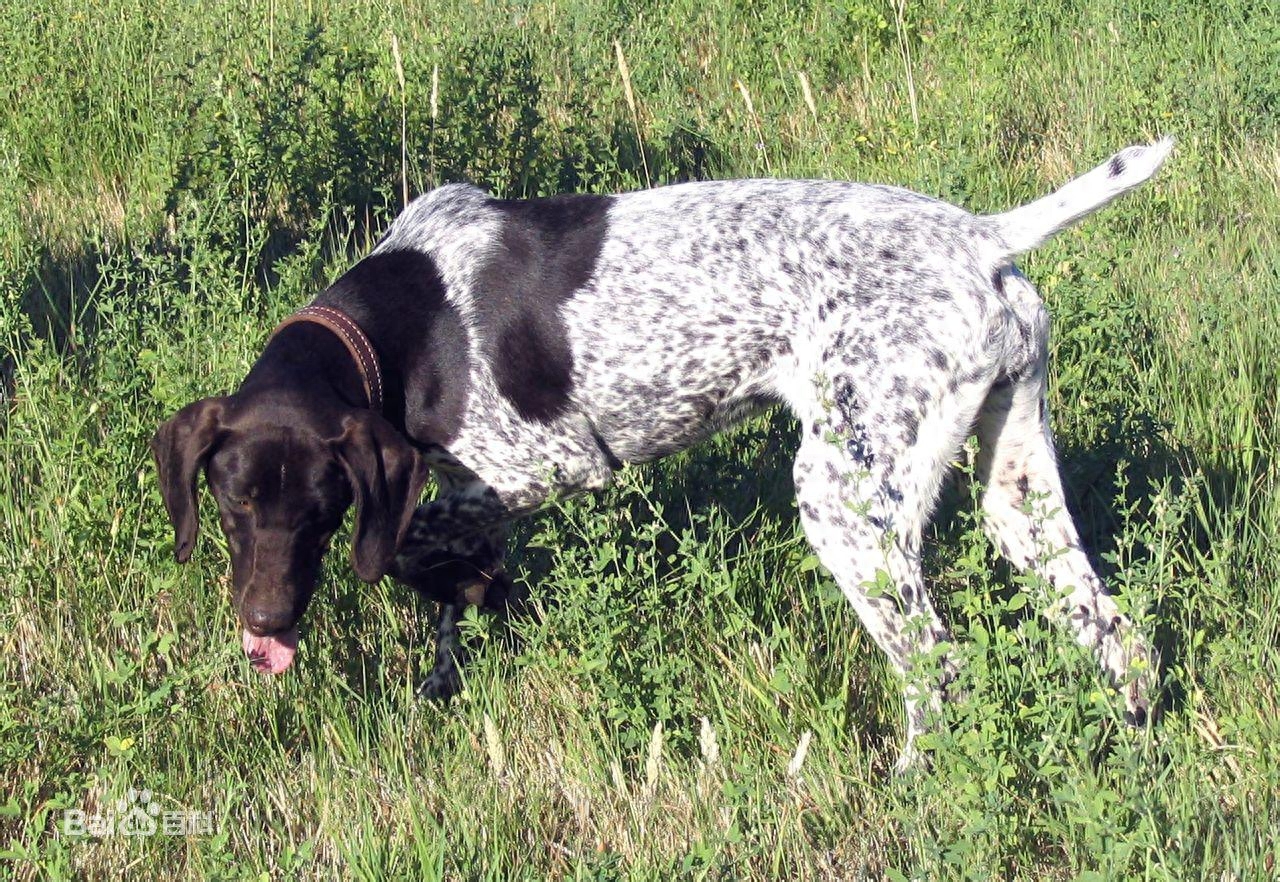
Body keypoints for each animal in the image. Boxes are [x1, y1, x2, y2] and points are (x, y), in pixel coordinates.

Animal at [149, 139, 1172, 768]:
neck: (402, 320)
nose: (267, 622)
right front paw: (453, 657)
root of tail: (983, 237)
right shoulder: (471, 490)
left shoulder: (534, 468)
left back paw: (911, 792)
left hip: (844, 506)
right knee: (1121, 639)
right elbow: (443, 589)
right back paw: (1133, 750)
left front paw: (474, 590)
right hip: (1018, 496)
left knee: (940, 672)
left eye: (319, 509)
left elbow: (411, 548)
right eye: (233, 508)